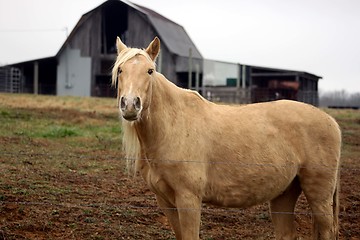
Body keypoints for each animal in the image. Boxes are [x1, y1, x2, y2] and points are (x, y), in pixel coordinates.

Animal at [112, 36, 340, 239]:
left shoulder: (188, 199)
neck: (172, 127)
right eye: (120, 70)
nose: (130, 105)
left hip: (319, 196)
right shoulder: (165, 201)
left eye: (150, 71)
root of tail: (331, 121)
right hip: (284, 194)